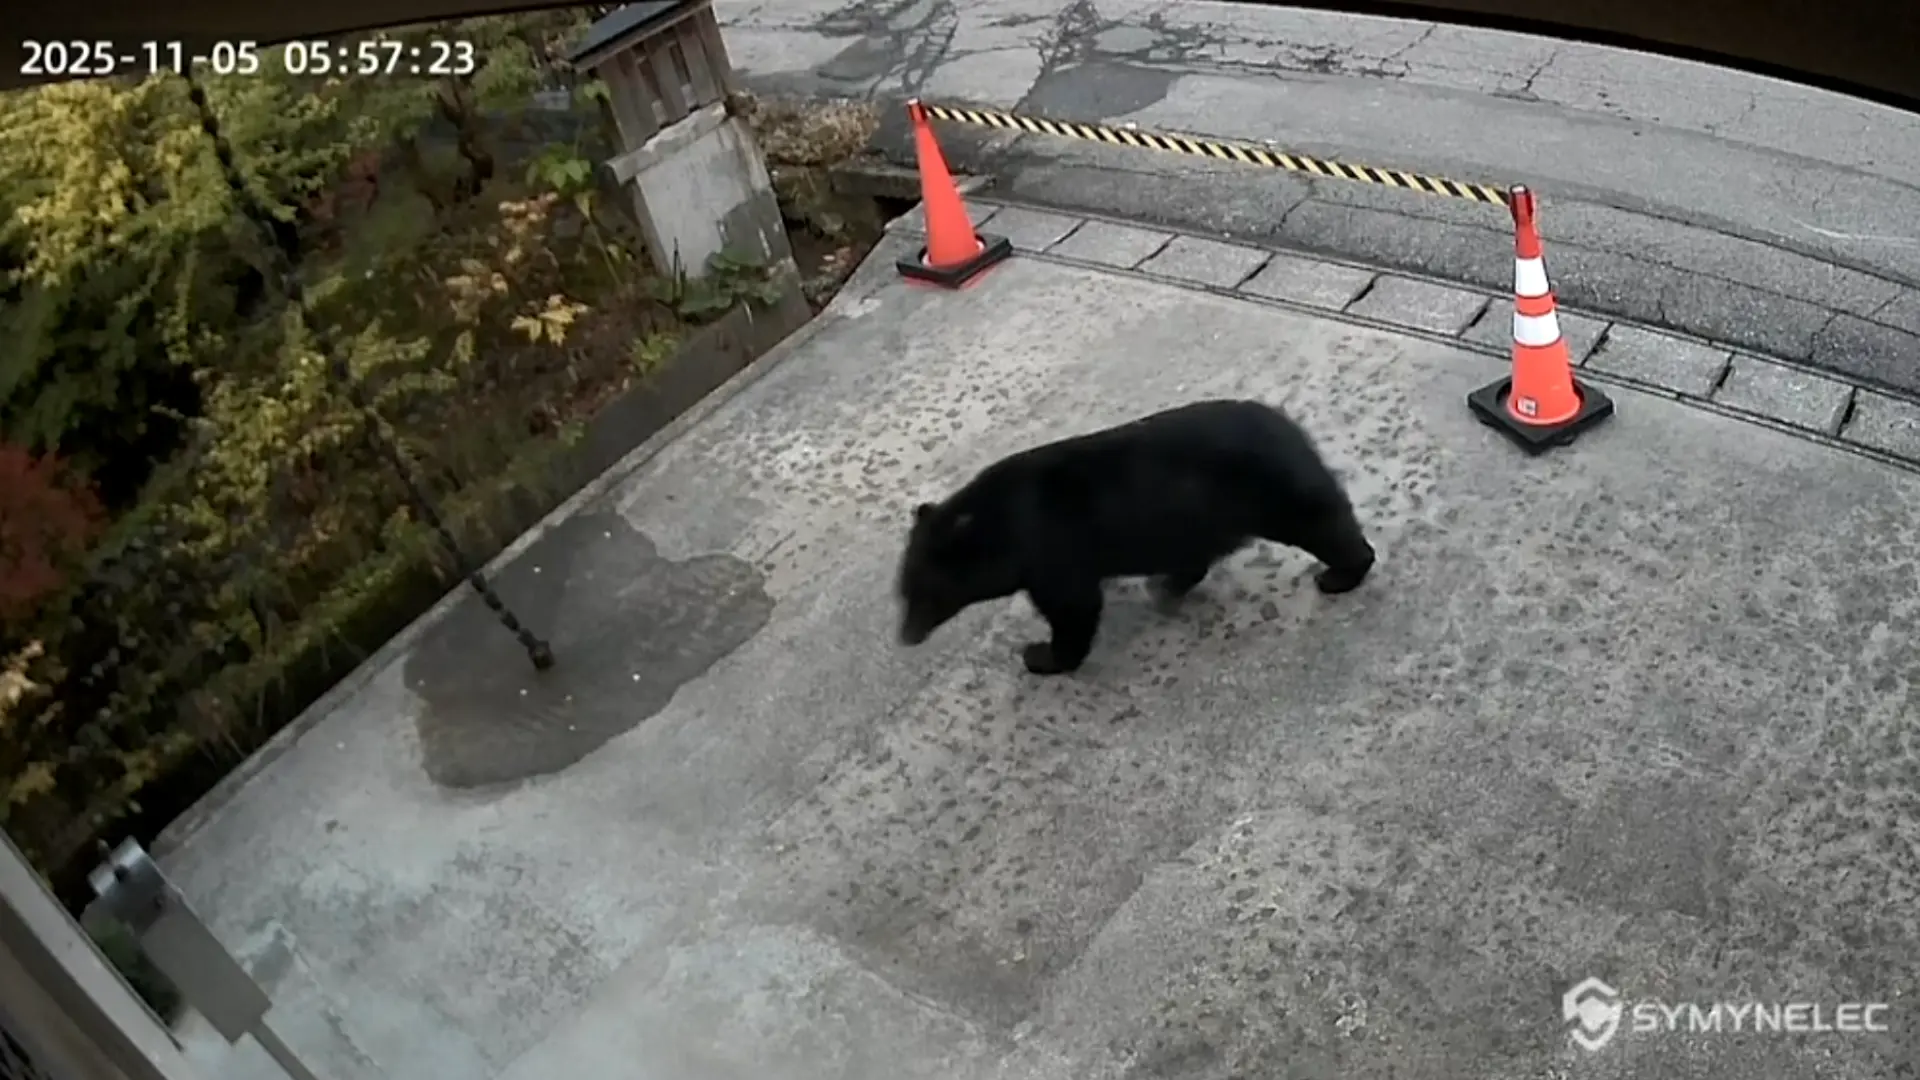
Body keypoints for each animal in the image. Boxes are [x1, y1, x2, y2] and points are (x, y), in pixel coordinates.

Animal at [894, 398, 1375, 675]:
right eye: (904, 591)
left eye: (927, 592)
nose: (905, 636)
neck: (1002, 526)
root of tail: (1291, 426)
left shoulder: (1052, 552)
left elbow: (1074, 607)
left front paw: (1042, 656)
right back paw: (1166, 584)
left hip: (1273, 492)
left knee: (1324, 524)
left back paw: (1341, 574)